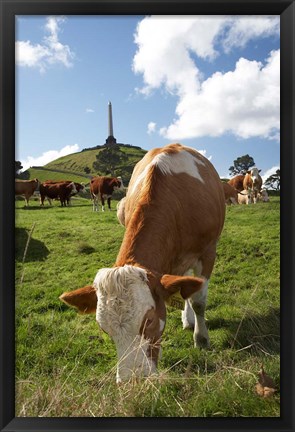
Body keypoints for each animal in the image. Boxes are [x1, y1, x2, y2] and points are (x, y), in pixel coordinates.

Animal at [60, 143, 227, 384]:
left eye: (149, 320)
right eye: (104, 328)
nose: (133, 380)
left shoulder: (207, 253)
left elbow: (198, 301)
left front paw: (202, 339)